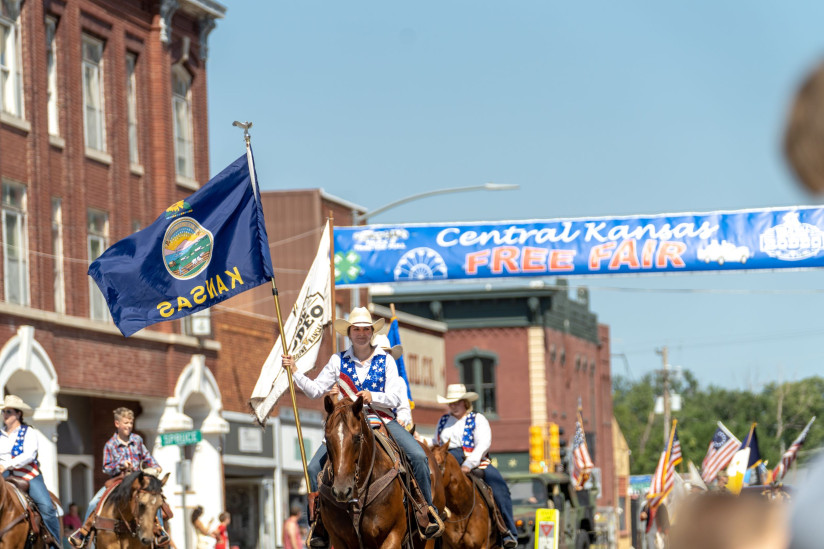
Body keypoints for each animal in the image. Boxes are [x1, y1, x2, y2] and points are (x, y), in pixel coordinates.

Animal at [318, 394, 444, 548]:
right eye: (327, 438)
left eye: (357, 437)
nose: (341, 490)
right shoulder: (338, 539)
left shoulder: (392, 535)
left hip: (426, 539)